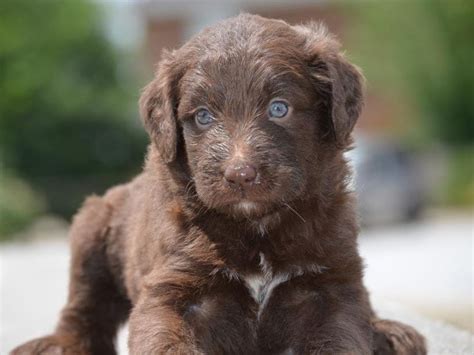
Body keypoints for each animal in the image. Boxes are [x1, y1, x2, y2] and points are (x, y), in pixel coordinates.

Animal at [12, 14, 426, 355]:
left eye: (279, 108)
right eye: (203, 116)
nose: (240, 173)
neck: (256, 227)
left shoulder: (331, 284)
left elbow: (343, 332)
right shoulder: (170, 290)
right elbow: (163, 339)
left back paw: (387, 332)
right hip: (92, 227)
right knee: (83, 307)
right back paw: (55, 345)